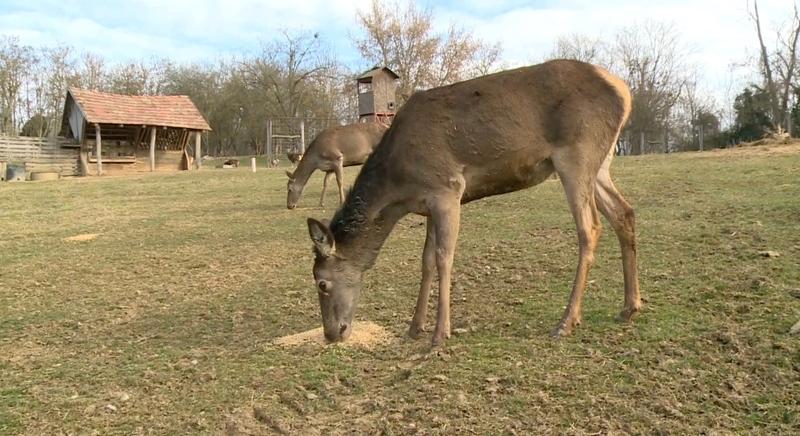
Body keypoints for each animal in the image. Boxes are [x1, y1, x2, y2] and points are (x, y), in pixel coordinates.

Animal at [306, 60, 644, 348]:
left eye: (321, 283)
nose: (332, 334)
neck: (398, 190)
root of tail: (625, 92)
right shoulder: (428, 202)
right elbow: (426, 261)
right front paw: (414, 327)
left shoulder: (447, 188)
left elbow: (444, 258)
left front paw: (440, 334)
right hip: (601, 163)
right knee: (624, 212)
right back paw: (629, 306)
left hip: (576, 155)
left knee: (590, 228)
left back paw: (567, 321)